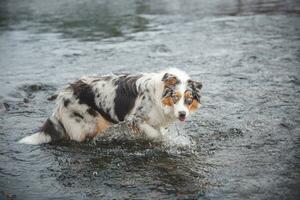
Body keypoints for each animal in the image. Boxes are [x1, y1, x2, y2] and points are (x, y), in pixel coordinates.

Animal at [18, 68, 202, 145]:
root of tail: (62, 96)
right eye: (175, 97)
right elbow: (154, 134)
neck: (158, 96)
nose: (182, 114)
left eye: (189, 99)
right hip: (86, 125)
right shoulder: (134, 118)